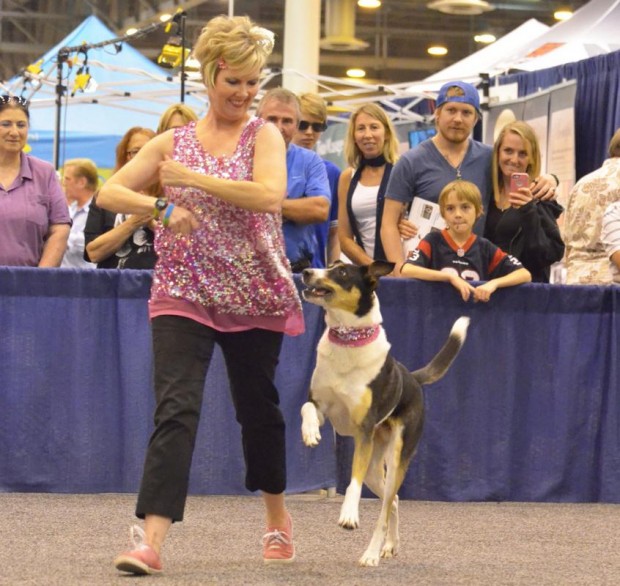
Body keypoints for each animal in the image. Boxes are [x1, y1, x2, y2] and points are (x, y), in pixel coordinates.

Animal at [302, 260, 470, 564]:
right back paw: (390, 545)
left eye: (342, 272)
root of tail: (412, 378)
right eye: (329, 265)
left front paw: (349, 515)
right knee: (393, 502)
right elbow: (306, 408)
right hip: (375, 466)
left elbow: (353, 483)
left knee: (385, 508)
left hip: (395, 461)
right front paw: (309, 434)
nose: (307, 272)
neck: (348, 340)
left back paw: (371, 554)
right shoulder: (323, 408)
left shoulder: (364, 430)